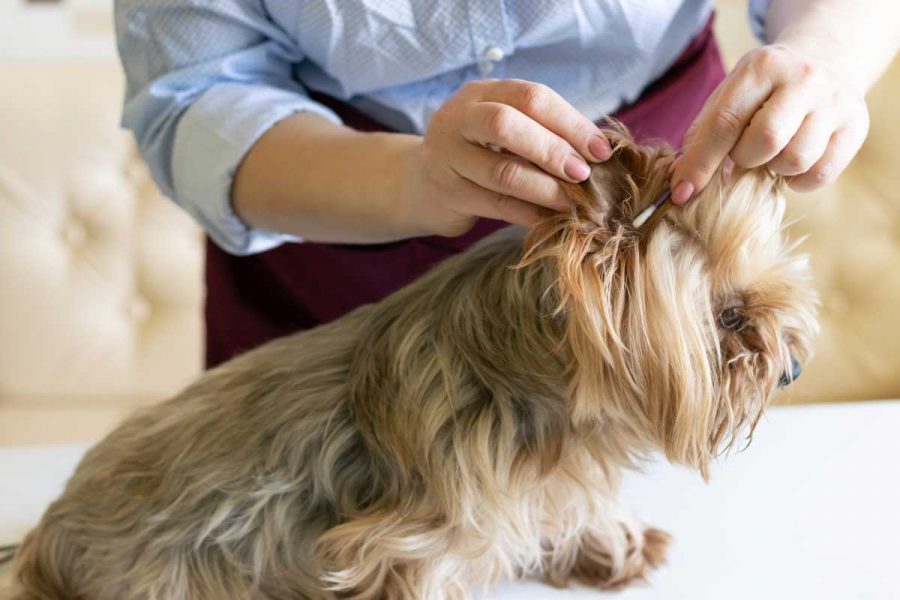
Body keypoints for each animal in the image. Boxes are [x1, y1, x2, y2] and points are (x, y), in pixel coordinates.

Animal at [8, 129, 816, 596]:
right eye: (729, 317)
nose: (789, 371)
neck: (534, 371)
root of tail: (43, 548)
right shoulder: (416, 539)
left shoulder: (556, 465)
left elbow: (573, 503)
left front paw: (606, 546)